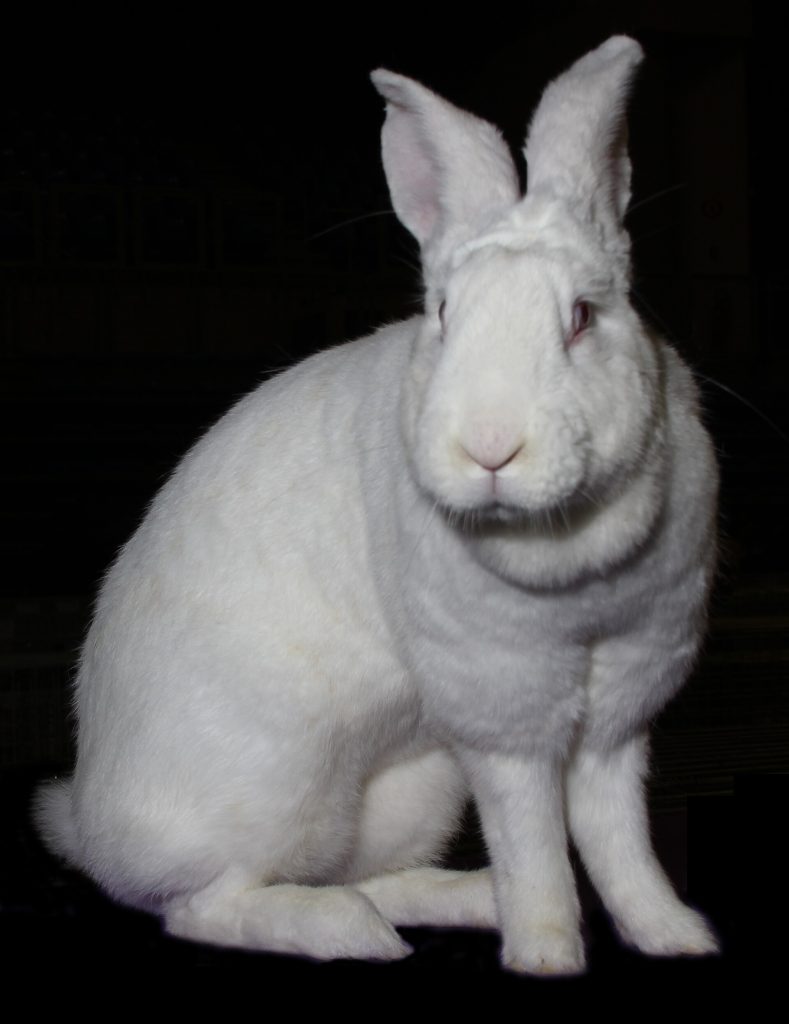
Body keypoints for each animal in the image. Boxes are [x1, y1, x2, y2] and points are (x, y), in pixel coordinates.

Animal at [33, 35, 720, 975]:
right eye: (442, 315)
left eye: (582, 317)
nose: (490, 448)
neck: (571, 546)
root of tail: (93, 828)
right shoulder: (502, 712)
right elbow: (534, 836)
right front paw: (545, 951)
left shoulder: (620, 700)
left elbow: (617, 835)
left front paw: (672, 934)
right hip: (272, 789)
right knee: (206, 905)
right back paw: (349, 932)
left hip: (406, 796)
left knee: (367, 874)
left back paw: (457, 901)